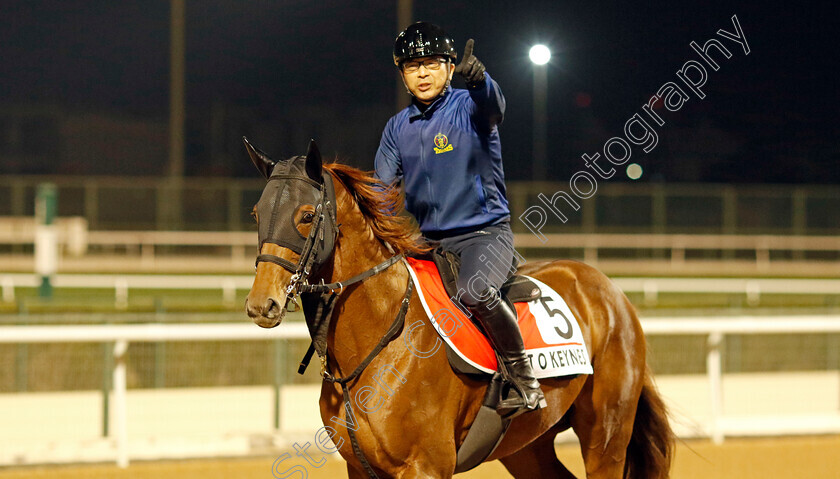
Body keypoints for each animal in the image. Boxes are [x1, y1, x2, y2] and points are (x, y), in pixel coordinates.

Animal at [244, 137, 676, 478]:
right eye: (256, 213)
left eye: (306, 215)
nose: (261, 303)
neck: (382, 337)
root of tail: (609, 290)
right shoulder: (361, 468)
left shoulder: (426, 466)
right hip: (528, 446)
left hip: (606, 435)